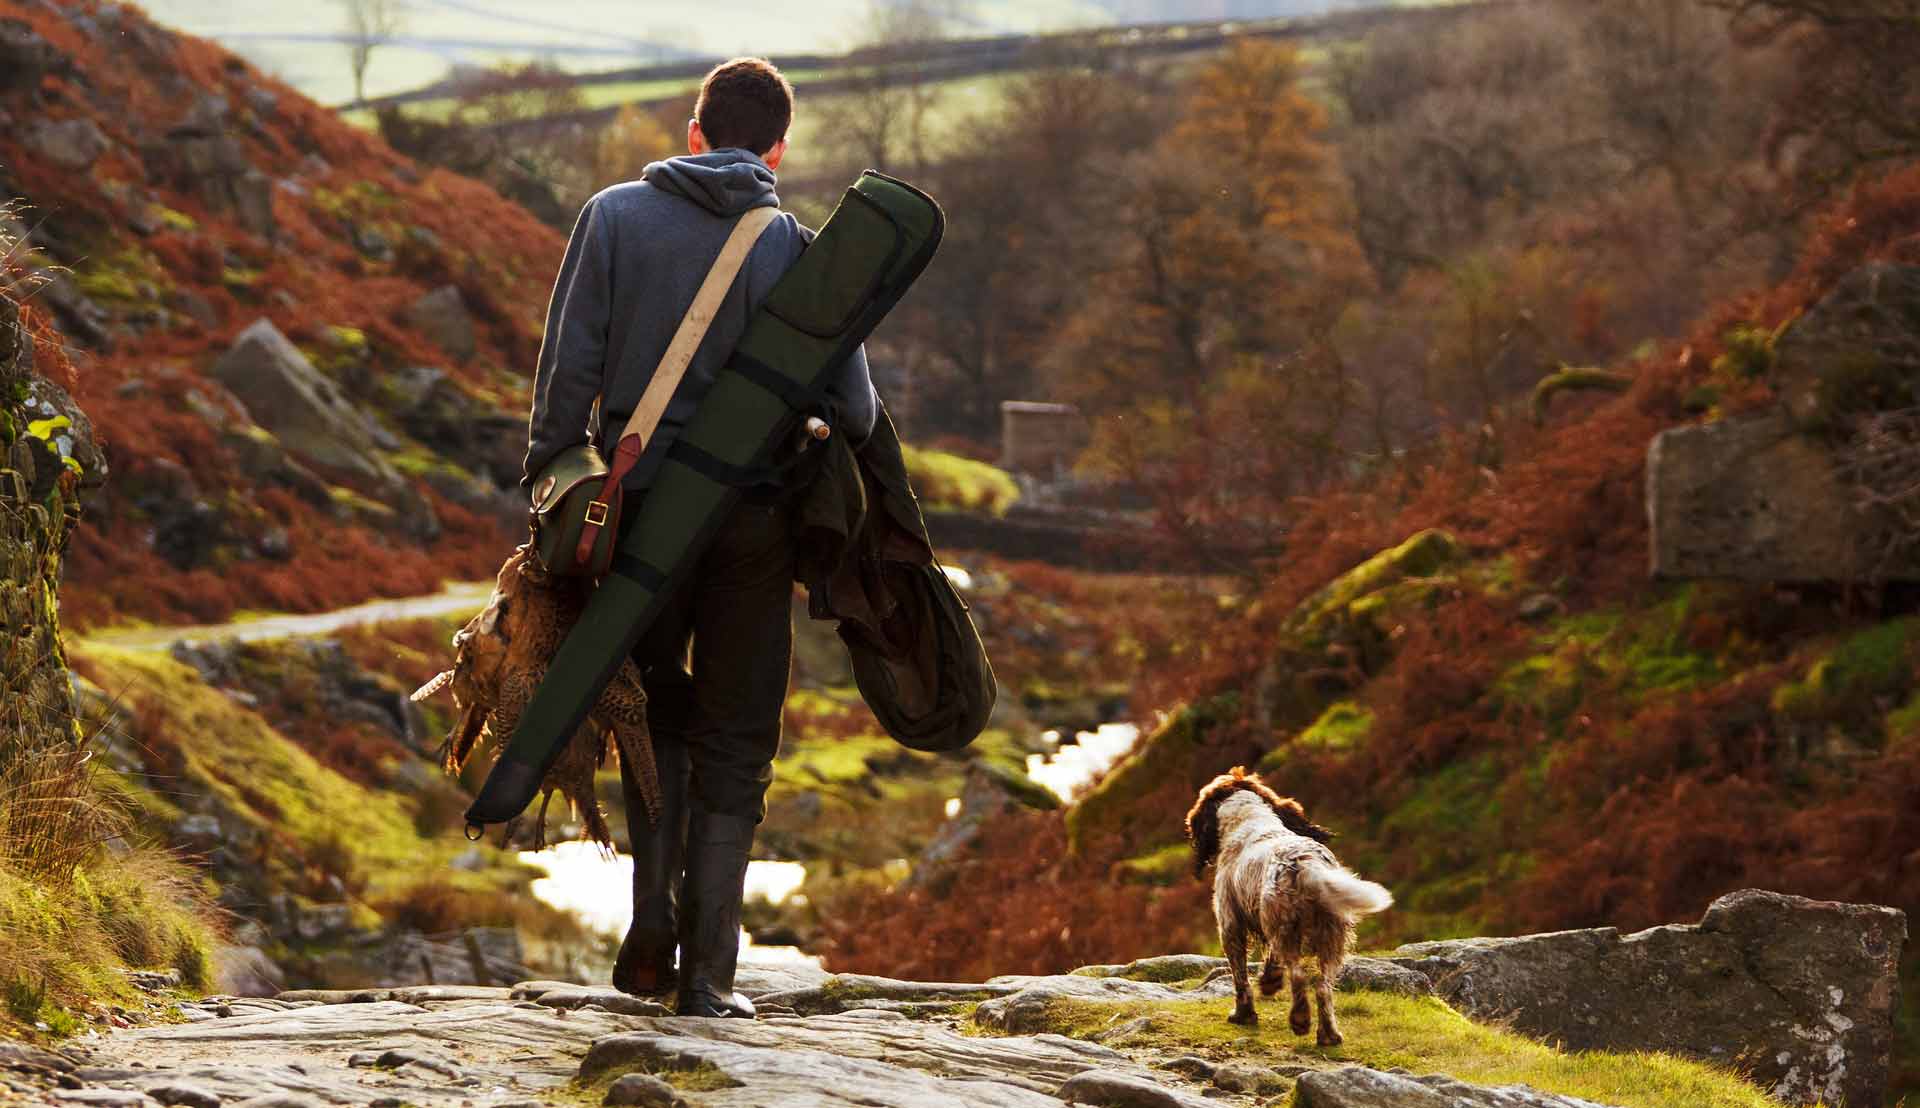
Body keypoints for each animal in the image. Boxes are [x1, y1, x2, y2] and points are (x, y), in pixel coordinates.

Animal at [1175, 764, 1390, 1044]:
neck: (1249, 819)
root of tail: (1308, 865)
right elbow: (1271, 961)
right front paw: (1269, 982)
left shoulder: (1230, 925)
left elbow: (1240, 977)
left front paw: (1243, 1014)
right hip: (1331, 937)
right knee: (1323, 986)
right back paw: (1329, 1034)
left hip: (1286, 930)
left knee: (1298, 976)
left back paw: (1300, 1021)